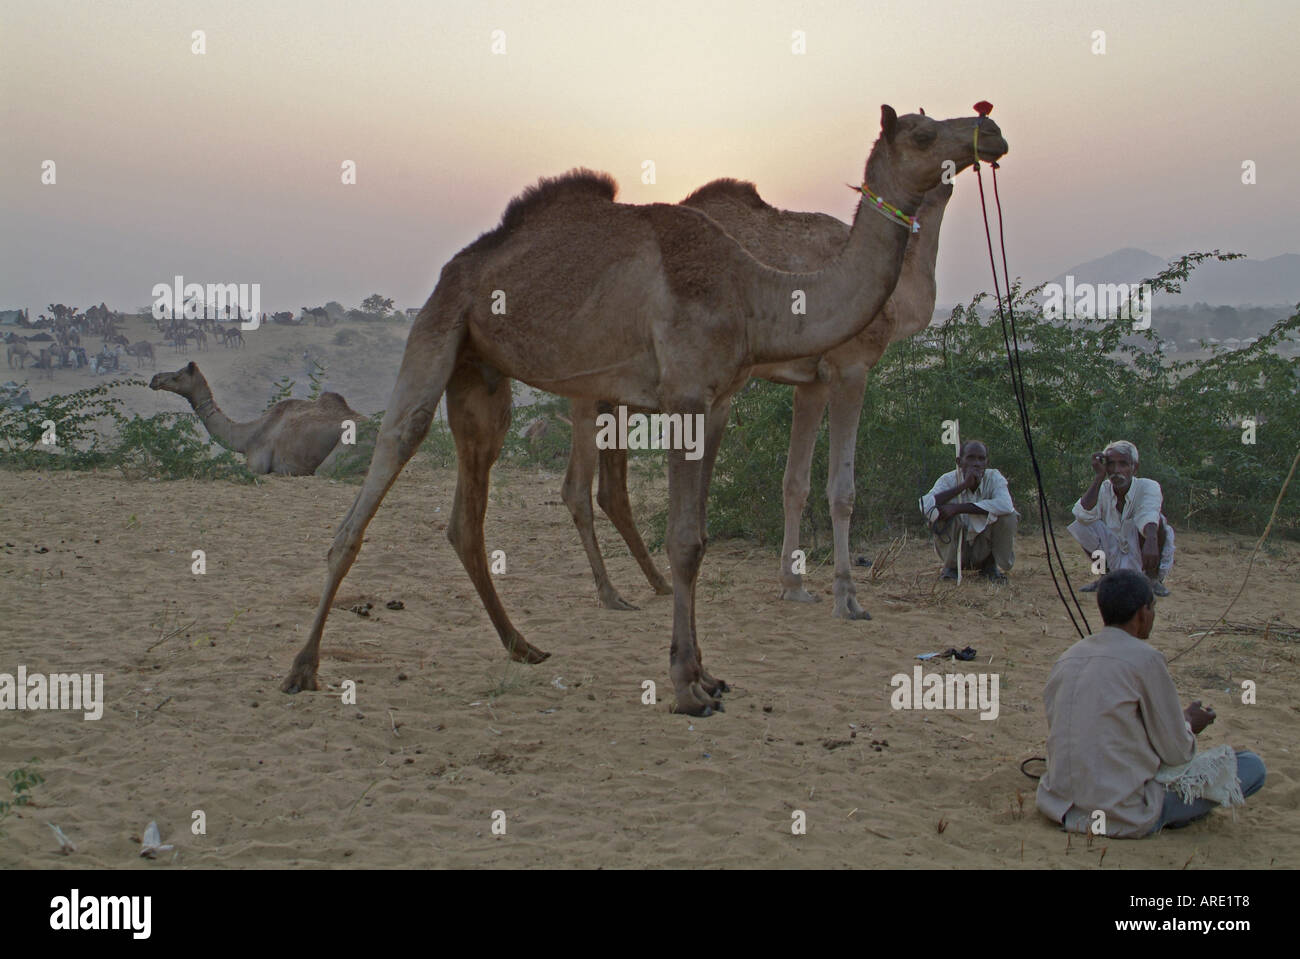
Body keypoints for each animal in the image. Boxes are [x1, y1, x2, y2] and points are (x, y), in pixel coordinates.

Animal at [565, 178, 955, 617]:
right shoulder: (850, 366)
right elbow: (841, 489)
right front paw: (847, 598)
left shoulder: (812, 381)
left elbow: (795, 483)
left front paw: (794, 585)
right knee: (579, 490)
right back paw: (612, 593)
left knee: (607, 490)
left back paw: (654, 584)